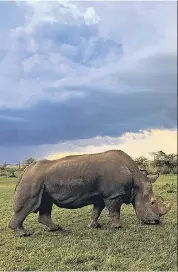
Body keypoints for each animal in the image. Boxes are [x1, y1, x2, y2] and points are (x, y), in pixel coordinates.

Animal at [8, 150, 171, 237]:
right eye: (152, 202)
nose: (156, 222)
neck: (137, 183)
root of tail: (25, 170)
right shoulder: (113, 194)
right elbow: (114, 211)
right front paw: (118, 226)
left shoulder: (101, 196)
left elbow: (96, 211)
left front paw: (94, 226)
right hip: (33, 179)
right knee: (29, 204)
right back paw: (24, 234)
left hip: (41, 181)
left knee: (46, 203)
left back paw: (55, 229)